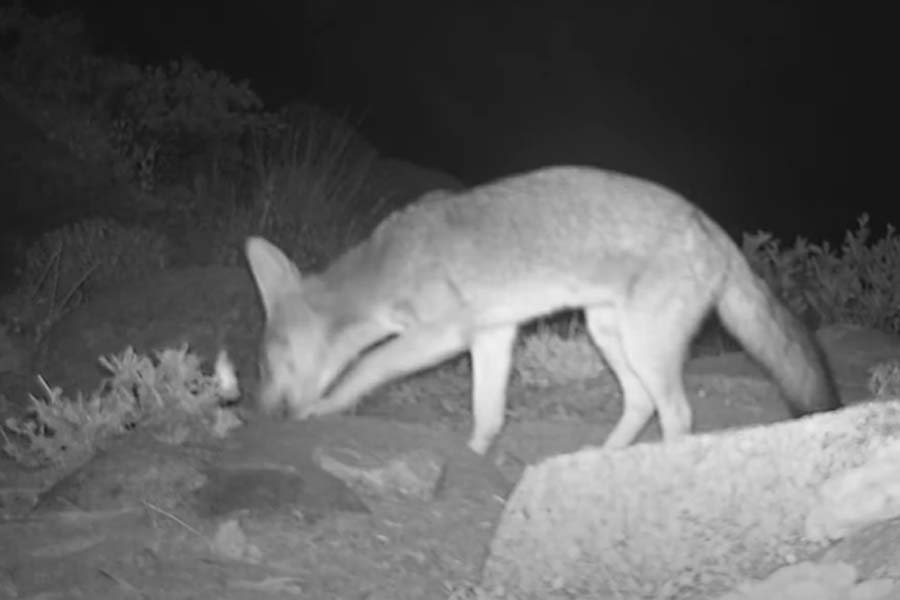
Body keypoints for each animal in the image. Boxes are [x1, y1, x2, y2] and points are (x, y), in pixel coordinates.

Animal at [244, 165, 841, 455]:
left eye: (268, 366)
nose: (263, 411)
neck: (385, 264)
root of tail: (713, 226)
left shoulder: (442, 336)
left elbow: (366, 368)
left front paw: (321, 409)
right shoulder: (493, 334)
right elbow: (487, 411)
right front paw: (476, 454)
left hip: (643, 347)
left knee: (677, 415)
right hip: (610, 336)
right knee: (643, 404)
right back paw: (604, 458)